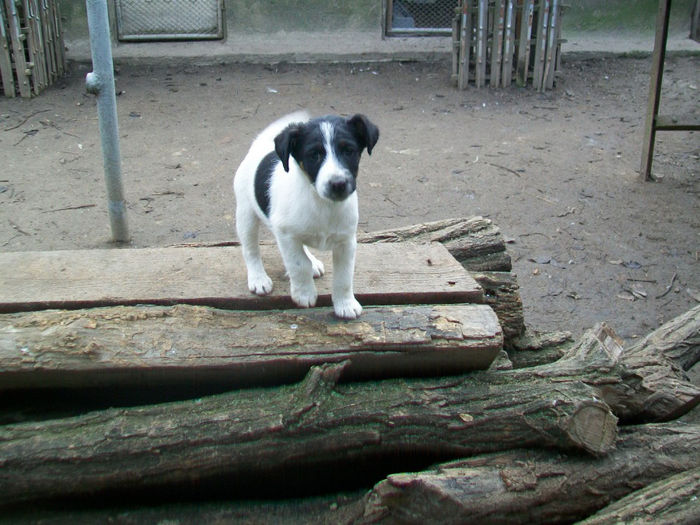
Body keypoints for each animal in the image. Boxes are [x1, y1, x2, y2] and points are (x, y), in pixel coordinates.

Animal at [234, 111, 378, 320]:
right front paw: (304, 294)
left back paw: (313, 263)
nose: (338, 184)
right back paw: (258, 278)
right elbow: (298, 264)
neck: (323, 204)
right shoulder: (286, 234)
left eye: (349, 151)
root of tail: (259, 145)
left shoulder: (347, 241)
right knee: (251, 249)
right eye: (314, 155)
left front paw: (345, 304)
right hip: (246, 215)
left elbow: (344, 276)